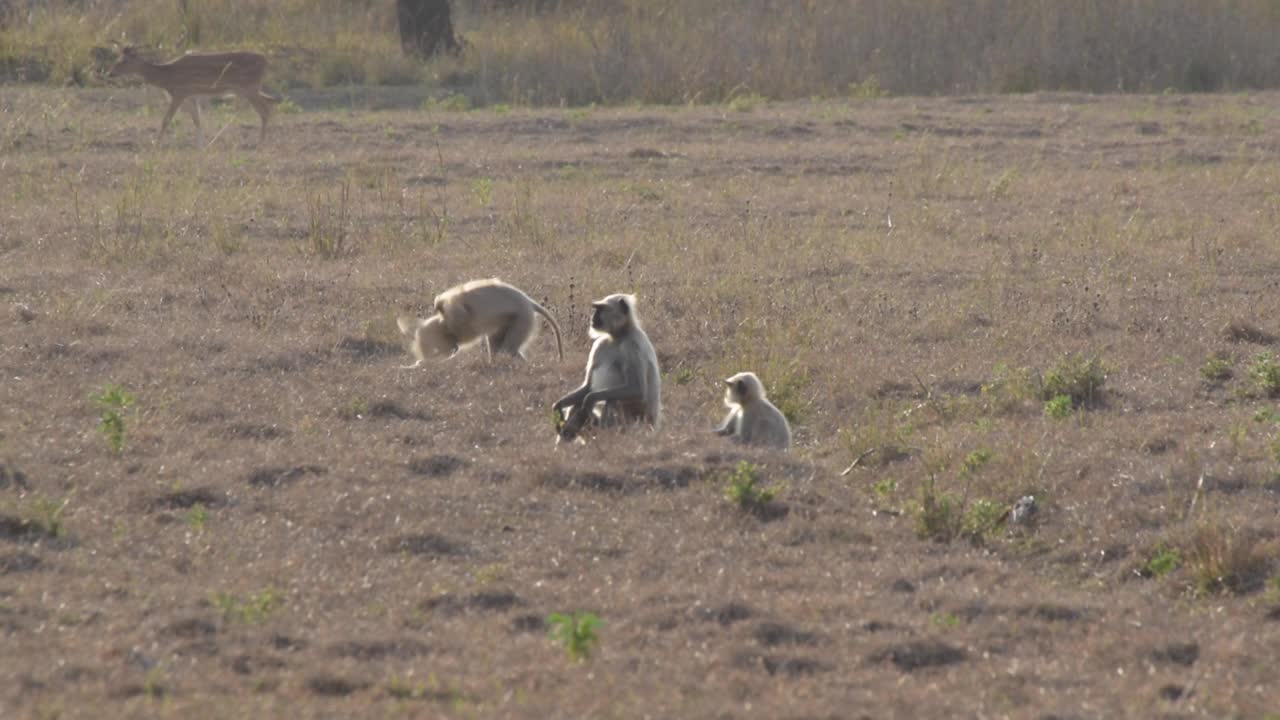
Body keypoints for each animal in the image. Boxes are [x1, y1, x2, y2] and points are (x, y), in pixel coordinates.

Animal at [110, 45, 280, 146]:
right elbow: (197, 121)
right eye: (117, 58)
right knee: (271, 103)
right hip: (250, 89)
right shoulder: (191, 95)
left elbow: (166, 120)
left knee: (265, 110)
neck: (167, 77)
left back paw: (260, 143)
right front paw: (202, 145)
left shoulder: (180, 93)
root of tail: (266, 61)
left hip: (249, 88)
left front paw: (156, 144)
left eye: (124, 61)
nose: (110, 73)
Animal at [396, 274, 563, 363]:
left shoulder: (451, 309)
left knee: (508, 348)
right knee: (497, 344)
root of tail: (528, 301)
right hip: (513, 321)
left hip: (522, 318)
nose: (422, 356)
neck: (443, 324)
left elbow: (459, 316)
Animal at [555, 289, 665, 438]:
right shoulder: (600, 344)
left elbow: (637, 390)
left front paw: (590, 399)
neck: (619, 336)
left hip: (635, 421)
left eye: (600, 309)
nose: (592, 318)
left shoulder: (632, 346)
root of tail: (653, 424)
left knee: (612, 400)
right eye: (596, 309)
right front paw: (558, 405)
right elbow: (588, 386)